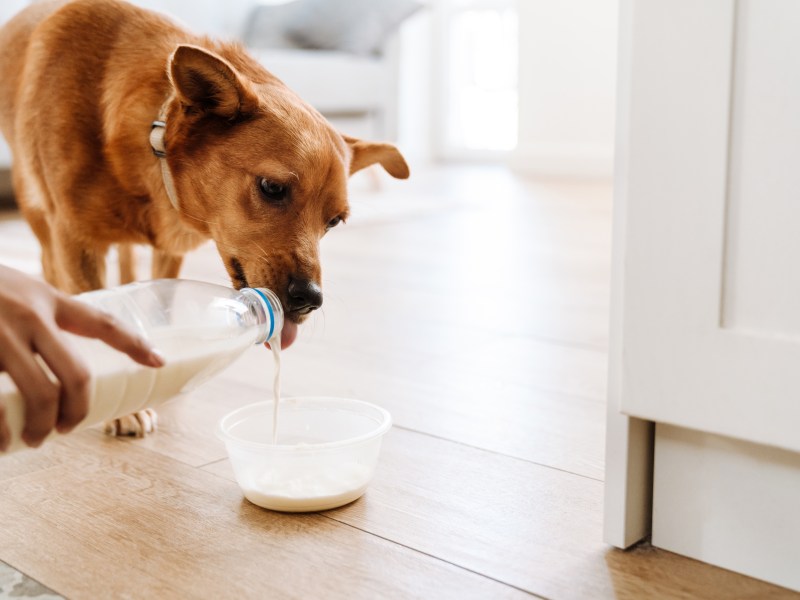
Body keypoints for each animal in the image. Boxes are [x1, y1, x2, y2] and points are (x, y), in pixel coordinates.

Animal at [0, 0, 406, 432]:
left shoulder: (169, 251)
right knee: (50, 265)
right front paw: (125, 406)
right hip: (37, 209)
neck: (151, 138)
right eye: (272, 188)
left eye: (334, 222)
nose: (311, 299)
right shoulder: (76, 242)